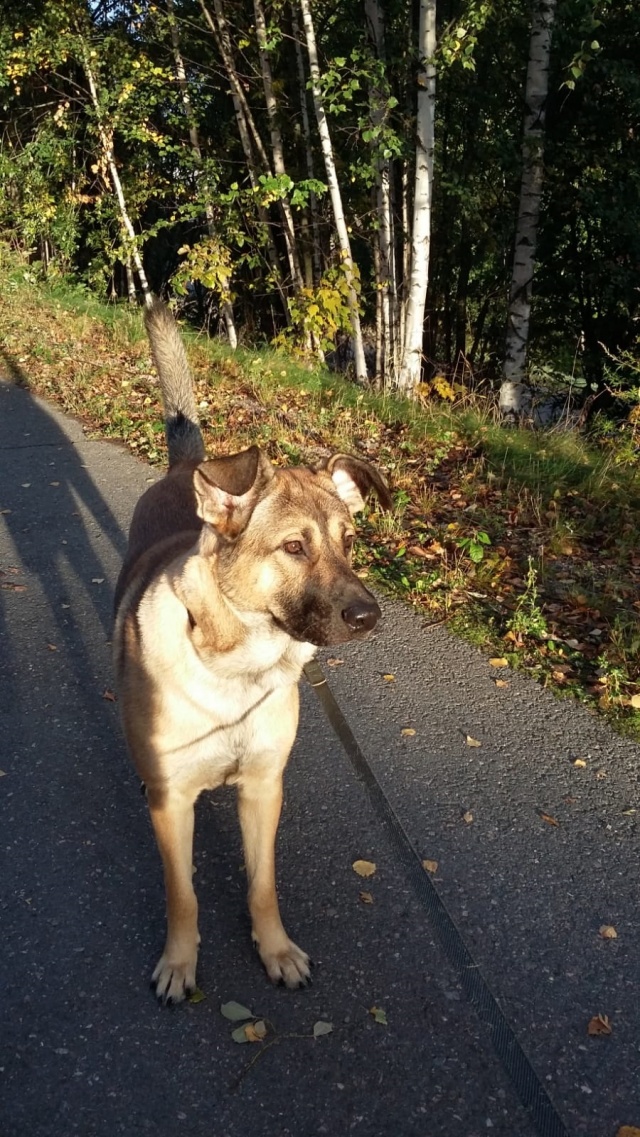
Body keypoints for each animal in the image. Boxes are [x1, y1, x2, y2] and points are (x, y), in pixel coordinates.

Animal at [113, 299, 392, 1003]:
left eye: (350, 541)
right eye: (294, 547)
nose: (368, 617)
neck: (236, 666)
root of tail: (187, 470)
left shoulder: (265, 789)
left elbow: (263, 885)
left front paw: (275, 949)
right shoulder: (172, 805)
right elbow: (182, 894)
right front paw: (179, 961)